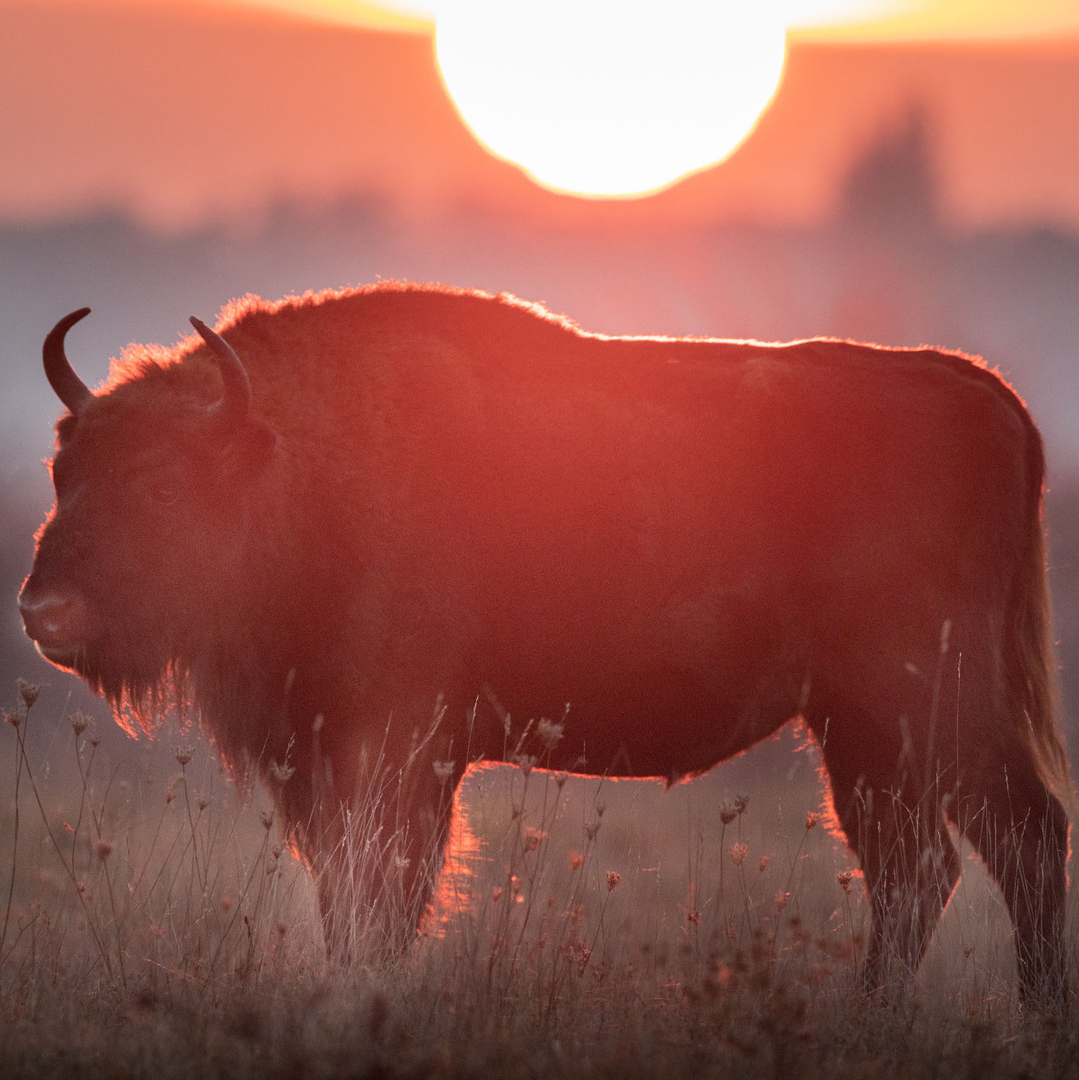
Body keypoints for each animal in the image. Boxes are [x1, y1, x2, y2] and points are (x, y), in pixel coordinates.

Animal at [16, 285, 1071, 1002]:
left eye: (162, 486)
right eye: (66, 473)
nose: (43, 612)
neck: (296, 462)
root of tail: (990, 397)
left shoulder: (398, 752)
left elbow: (383, 893)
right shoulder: (325, 763)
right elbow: (344, 894)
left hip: (924, 707)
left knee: (1014, 838)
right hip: (862, 734)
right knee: (919, 871)